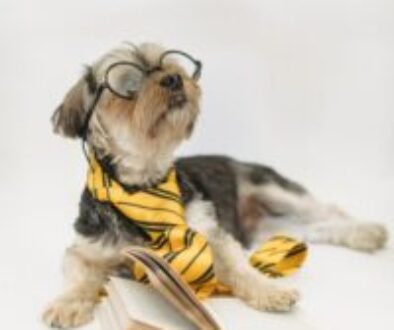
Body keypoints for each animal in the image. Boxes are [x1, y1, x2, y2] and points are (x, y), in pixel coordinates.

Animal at [42, 43, 388, 328]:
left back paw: (368, 230)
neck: (145, 186)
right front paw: (67, 304)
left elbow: (239, 268)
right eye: (129, 84)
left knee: (328, 210)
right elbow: (79, 274)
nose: (174, 79)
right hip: (271, 230)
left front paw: (269, 290)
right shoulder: (86, 249)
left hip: (271, 187)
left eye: (170, 63)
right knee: (316, 229)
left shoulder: (214, 236)